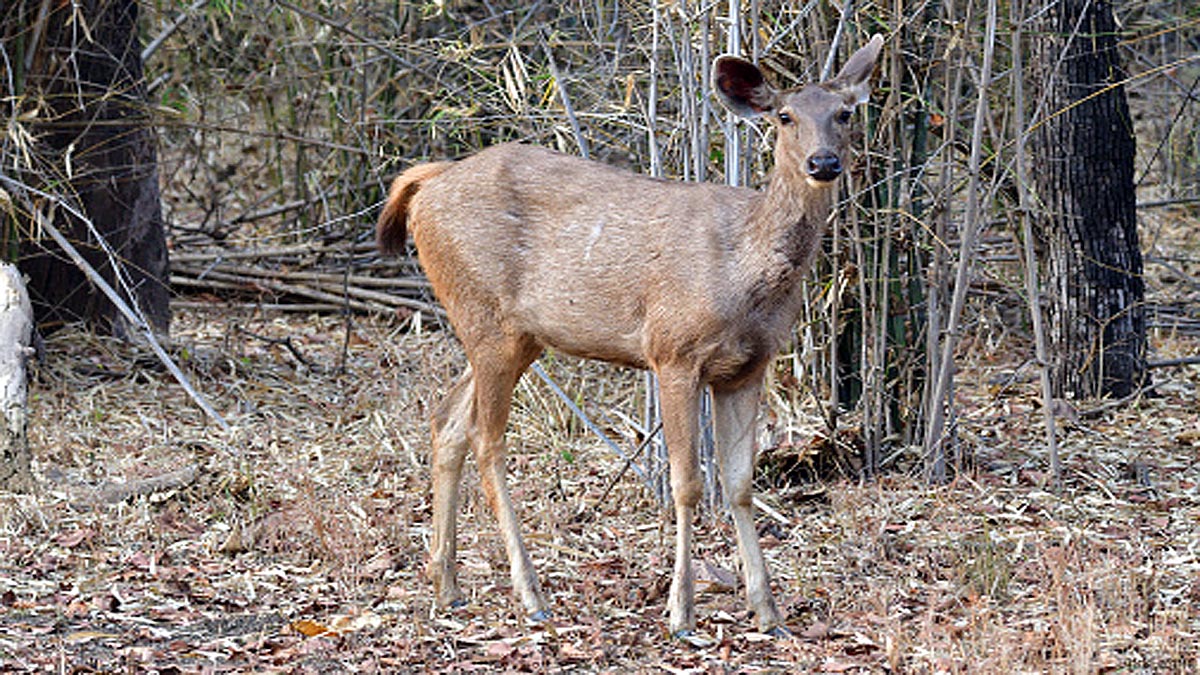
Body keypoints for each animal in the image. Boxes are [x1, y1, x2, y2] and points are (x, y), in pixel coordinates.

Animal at [377, 35, 883, 639]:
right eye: (785, 117)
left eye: (845, 113)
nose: (823, 162)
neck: (744, 272)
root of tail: (425, 184)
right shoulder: (673, 350)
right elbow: (687, 482)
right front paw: (681, 612)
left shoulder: (747, 367)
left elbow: (739, 482)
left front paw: (769, 612)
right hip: (486, 317)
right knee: (486, 438)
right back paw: (530, 595)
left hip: (510, 333)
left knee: (448, 419)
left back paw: (448, 586)